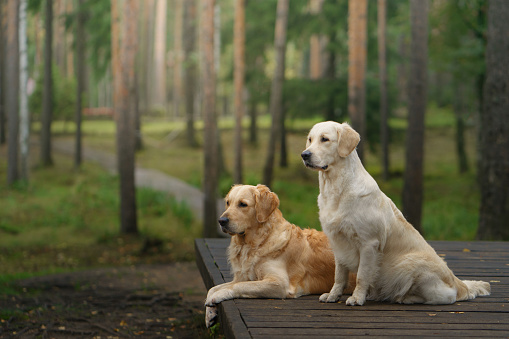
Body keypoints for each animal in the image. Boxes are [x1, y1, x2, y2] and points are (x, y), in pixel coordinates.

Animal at [204, 185, 356, 328]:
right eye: (228, 203)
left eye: (243, 204)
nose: (221, 220)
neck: (257, 243)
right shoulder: (243, 276)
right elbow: (213, 288)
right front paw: (210, 313)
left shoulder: (279, 283)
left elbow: (240, 286)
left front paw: (218, 296)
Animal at [300, 121, 490, 306]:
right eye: (310, 139)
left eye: (325, 139)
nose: (304, 155)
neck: (336, 187)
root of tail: (458, 282)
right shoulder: (338, 243)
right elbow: (339, 275)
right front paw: (333, 295)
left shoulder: (368, 243)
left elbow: (362, 275)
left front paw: (357, 298)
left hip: (408, 263)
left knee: (446, 297)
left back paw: (404, 298)